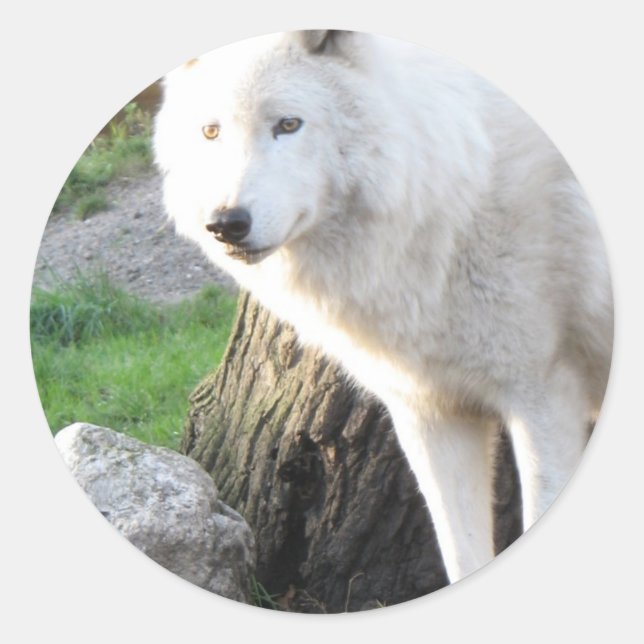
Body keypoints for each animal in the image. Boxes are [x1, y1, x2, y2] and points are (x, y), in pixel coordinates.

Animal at [154, 30, 613, 584]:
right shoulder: (430, 413)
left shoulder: (542, 399)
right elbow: (461, 555)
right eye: (211, 132)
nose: (226, 223)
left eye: (288, 124)